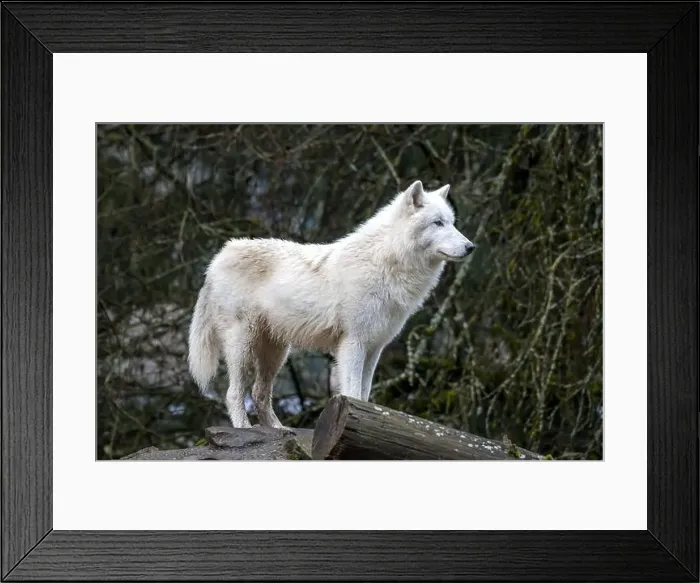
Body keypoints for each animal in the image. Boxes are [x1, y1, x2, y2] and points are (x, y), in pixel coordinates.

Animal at [187, 180, 475, 428]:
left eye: (452, 223)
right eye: (437, 223)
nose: (471, 247)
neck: (387, 263)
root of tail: (220, 255)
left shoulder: (374, 349)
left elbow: (364, 394)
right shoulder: (353, 343)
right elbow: (353, 392)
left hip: (276, 352)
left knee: (259, 393)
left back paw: (280, 430)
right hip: (242, 346)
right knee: (234, 393)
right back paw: (244, 428)